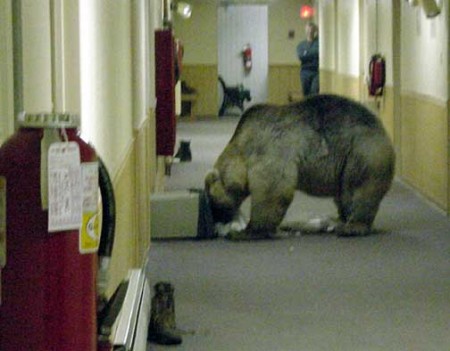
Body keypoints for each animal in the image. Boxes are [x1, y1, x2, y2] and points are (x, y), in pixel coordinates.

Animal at [206, 95, 396, 241]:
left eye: (214, 202)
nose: (218, 219)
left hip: (362, 151)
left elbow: (273, 190)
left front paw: (245, 231)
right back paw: (336, 221)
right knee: (343, 195)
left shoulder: (271, 148)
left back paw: (352, 226)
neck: (243, 147)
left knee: (357, 192)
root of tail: (384, 131)